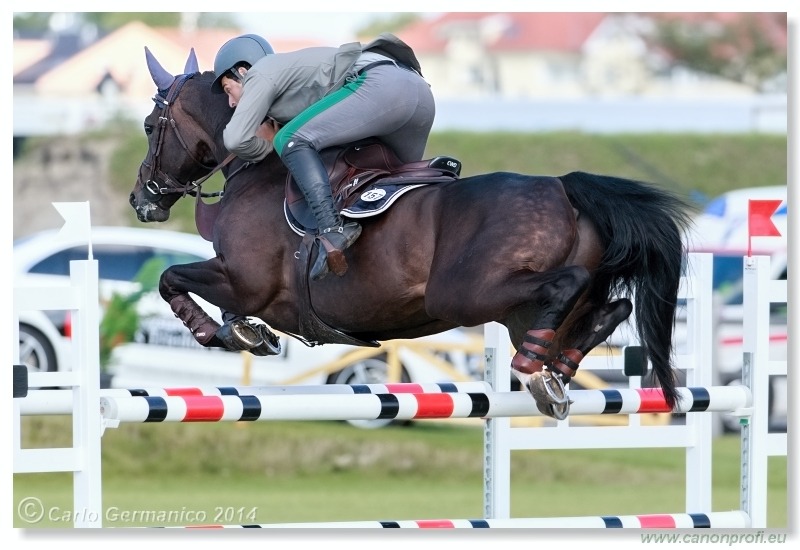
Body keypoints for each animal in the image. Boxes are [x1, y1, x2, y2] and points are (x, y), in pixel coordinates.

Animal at [128, 48, 692, 422]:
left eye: (151, 126)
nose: (141, 199)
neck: (260, 167)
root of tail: (563, 188)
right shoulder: (244, 284)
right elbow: (192, 286)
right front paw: (241, 330)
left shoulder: (246, 281)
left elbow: (171, 277)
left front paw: (218, 331)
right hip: (516, 311)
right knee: (610, 306)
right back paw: (557, 369)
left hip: (465, 294)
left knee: (568, 285)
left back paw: (533, 370)